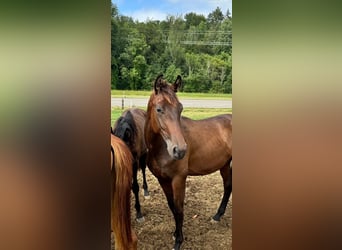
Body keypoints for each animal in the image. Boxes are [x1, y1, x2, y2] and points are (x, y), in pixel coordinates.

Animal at [143, 74, 234, 250]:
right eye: (159, 109)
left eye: (180, 108)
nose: (179, 150)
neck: (160, 148)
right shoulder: (163, 180)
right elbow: (172, 207)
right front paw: (175, 234)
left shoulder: (179, 179)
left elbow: (179, 210)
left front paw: (179, 241)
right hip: (225, 165)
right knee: (228, 186)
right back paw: (217, 216)